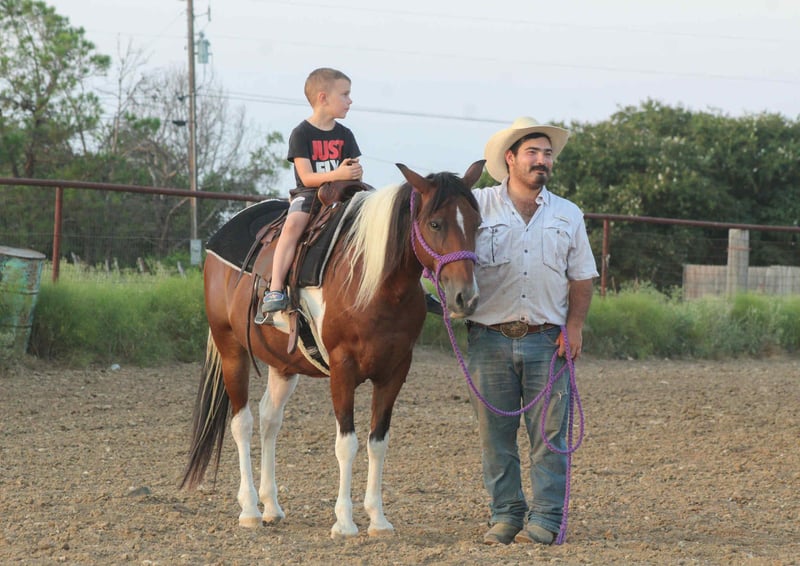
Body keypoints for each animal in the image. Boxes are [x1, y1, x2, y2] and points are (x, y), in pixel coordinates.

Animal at [181, 160, 485, 538]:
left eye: (477, 224)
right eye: (435, 223)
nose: (465, 298)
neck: (373, 283)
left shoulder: (395, 372)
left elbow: (377, 442)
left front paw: (378, 519)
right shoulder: (343, 369)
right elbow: (346, 444)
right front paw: (344, 521)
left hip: (283, 365)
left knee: (269, 420)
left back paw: (271, 506)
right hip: (231, 350)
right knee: (243, 424)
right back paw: (250, 509)